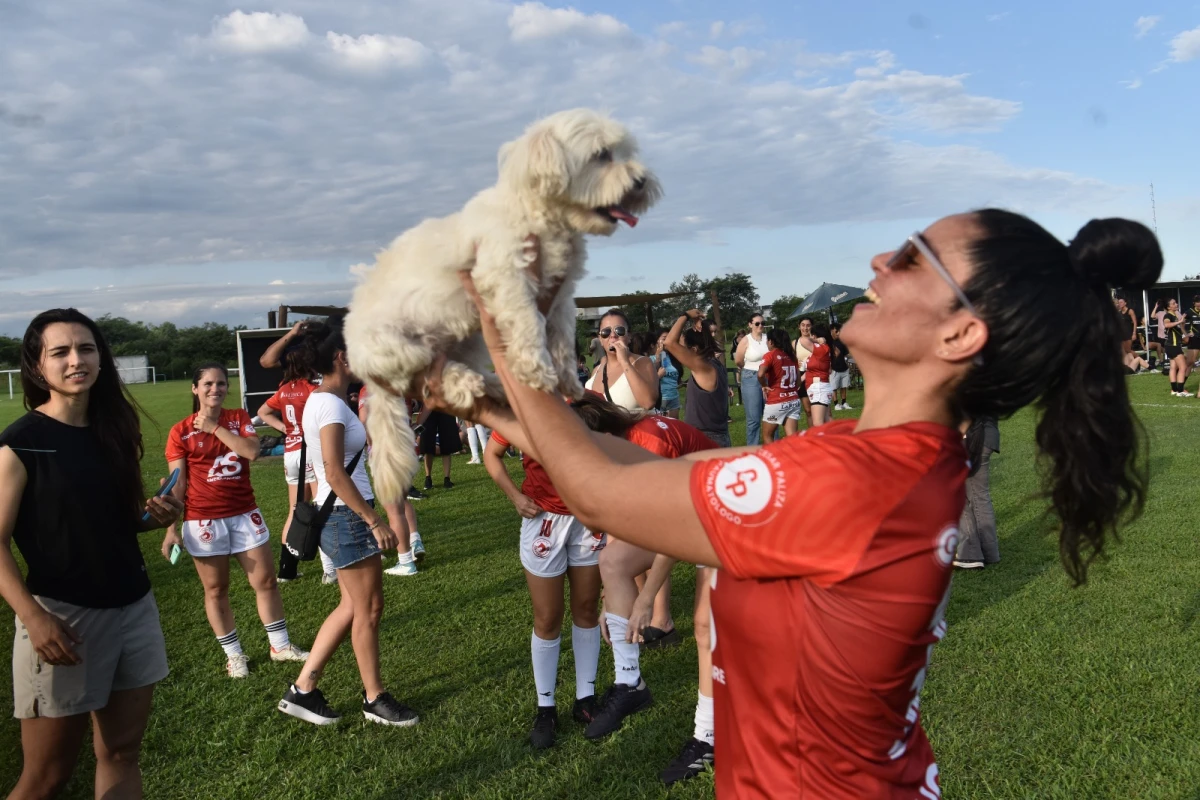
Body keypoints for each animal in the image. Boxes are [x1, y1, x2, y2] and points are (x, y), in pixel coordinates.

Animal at [343, 109, 662, 503]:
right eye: (601, 155)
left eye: (628, 151)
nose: (642, 182)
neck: (544, 217)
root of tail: (368, 374)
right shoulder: (509, 279)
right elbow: (528, 326)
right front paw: (535, 370)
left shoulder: (560, 295)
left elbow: (561, 338)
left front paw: (566, 379)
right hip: (400, 346)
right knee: (434, 374)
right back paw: (468, 381)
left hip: (466, 340)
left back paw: (494, 387)